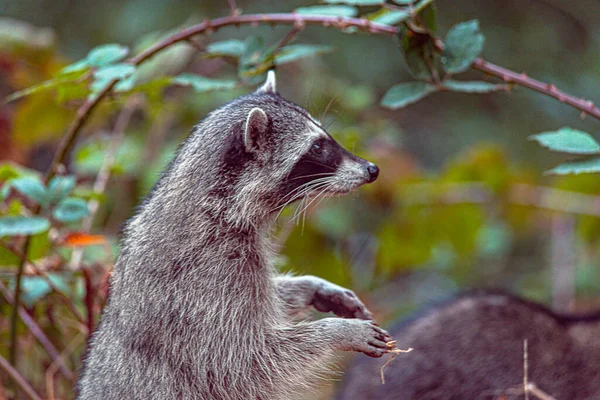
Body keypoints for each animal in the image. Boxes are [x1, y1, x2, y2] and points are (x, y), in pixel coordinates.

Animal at [77, 72, 392, 400]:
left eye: (324, 139)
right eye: (317, 148)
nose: (372, 169)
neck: (215, 202)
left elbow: (268, 301)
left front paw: (309, 286)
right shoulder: (208, 278)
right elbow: (241, 362)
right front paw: (335, 331)